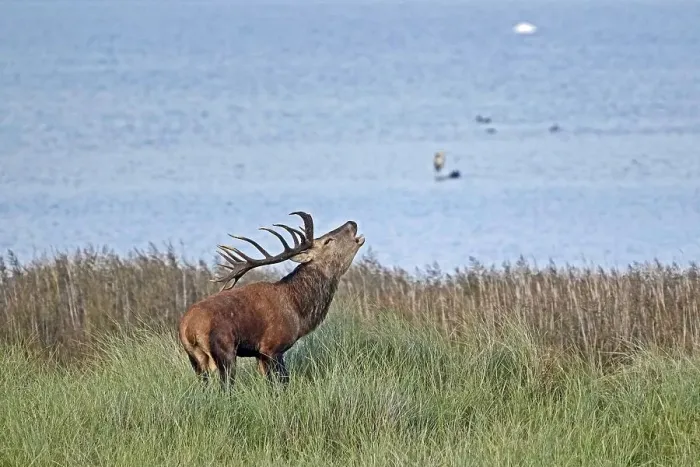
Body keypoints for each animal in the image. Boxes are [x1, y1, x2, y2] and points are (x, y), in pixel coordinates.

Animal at [178, 211, 365, 390]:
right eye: (327, 240)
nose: (352, 223)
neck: (298, 310)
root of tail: (188, 328)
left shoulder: (260, 354)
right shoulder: (272, 347)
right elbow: (282, 383)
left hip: (196, 359)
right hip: (225, 350)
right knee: (226, 388)